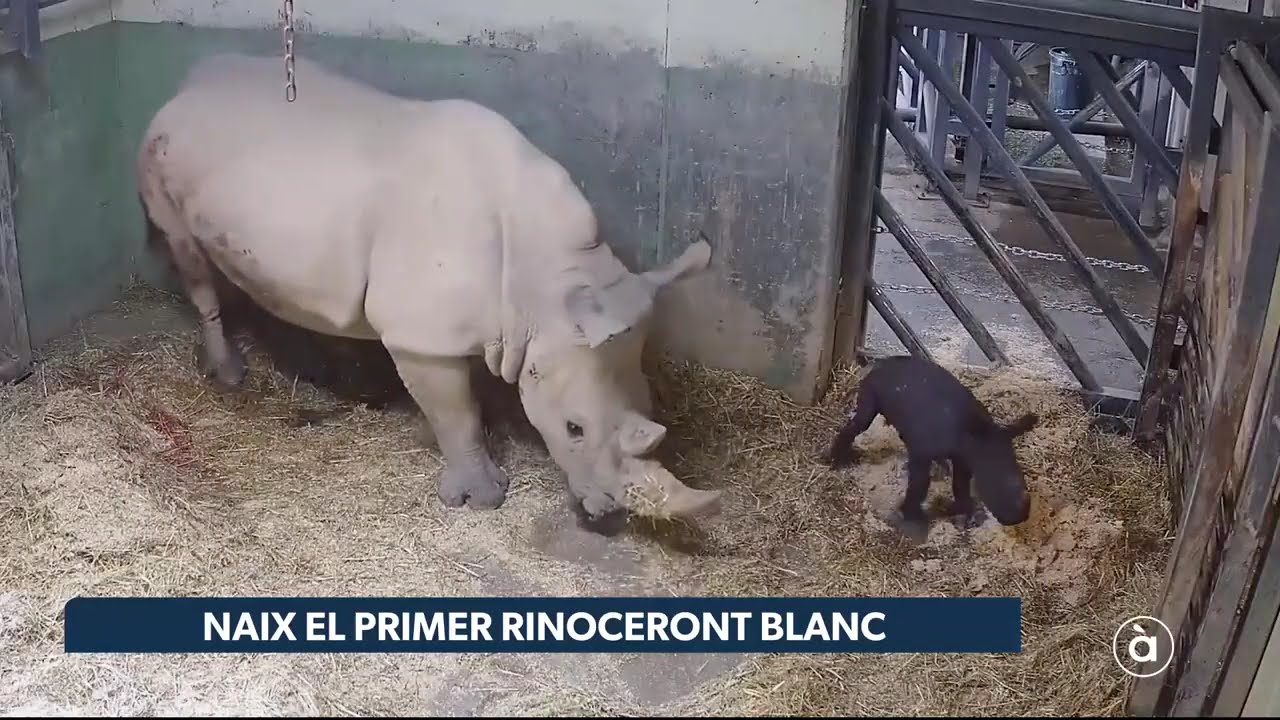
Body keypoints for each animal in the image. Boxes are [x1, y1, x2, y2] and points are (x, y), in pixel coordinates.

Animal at [135, 52, 721, 526]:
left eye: (650, 403)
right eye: (574, 428)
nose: (608, 515)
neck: (547, 285)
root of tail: (186, 83)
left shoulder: (495, 325)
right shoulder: (419, 335)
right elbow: (456, 412)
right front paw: (480, 499)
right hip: (155, 152)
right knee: (188, 255)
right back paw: (230, 374)